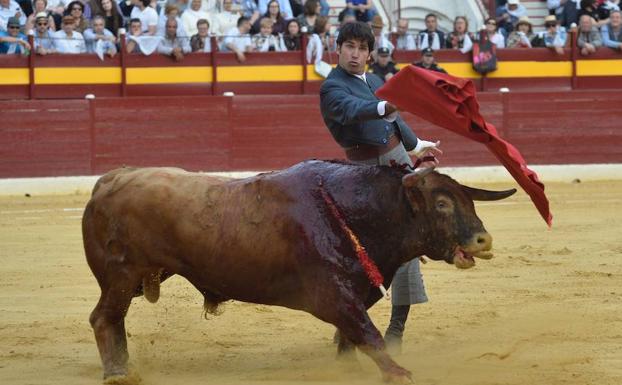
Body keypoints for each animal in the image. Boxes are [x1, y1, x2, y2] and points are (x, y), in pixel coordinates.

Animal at [85, 159, 520, 380]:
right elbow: (369, 335)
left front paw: (348, 370)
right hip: (121, 275)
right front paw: (399, 373)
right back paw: (118, 372)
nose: (483, 240)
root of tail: (110, 179)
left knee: (113, 318)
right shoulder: (334, 296)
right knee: (104, 317)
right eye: (442, 204)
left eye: (469, 200)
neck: (350, 211)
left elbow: (351, 339)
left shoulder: (355, 292)